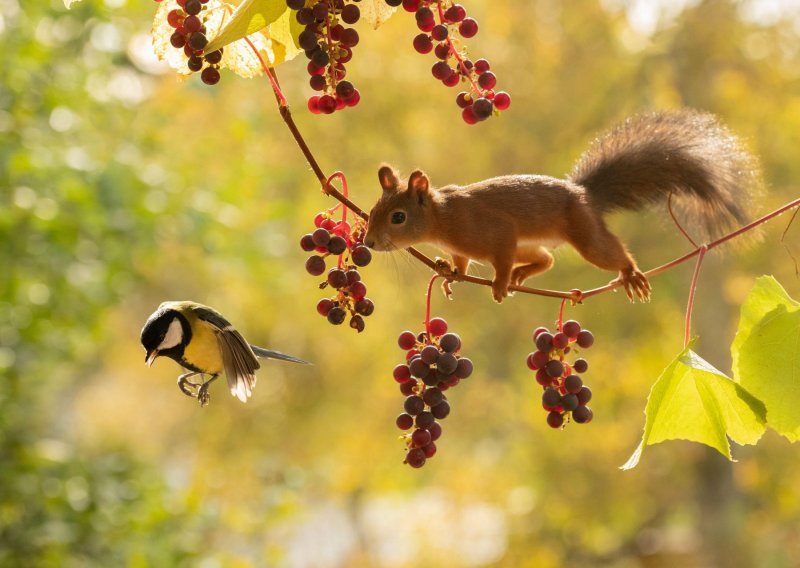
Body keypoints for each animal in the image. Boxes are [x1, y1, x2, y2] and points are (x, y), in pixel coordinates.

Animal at [362, 107, 764, 302]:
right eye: (373, 212)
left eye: (398, 217)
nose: (369, 242)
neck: (443, 219)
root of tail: (583, 193)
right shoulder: (466, 246)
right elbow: (461, 262)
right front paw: (450, 273)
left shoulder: (497, 231)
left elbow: (500, 259)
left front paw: (499, 284)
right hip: (533, 242)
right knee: (546, 259)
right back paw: (525, 273)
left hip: (584, 235)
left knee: (609, 252)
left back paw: (630, 274)